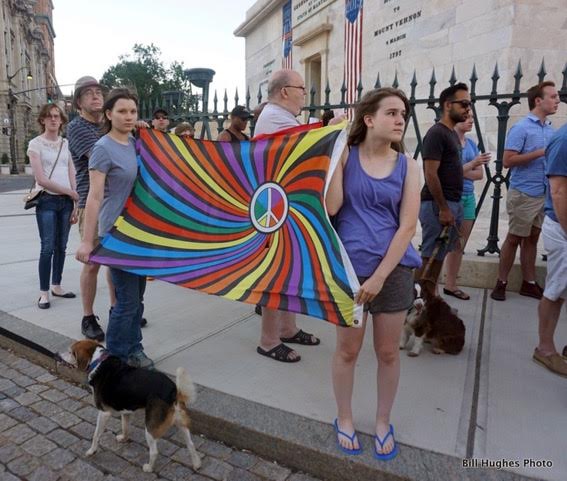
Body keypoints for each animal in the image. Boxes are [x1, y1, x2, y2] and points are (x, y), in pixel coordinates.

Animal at [59, 340, 202, 470]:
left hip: (150, 427)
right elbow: (125, 427)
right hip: (180, 422)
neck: (98, 361)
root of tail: (173, 391)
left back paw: (148, 468)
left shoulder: (104, 413)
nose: (58, 355)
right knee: (190, 444)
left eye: (70, 352)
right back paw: (196, 464)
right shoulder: (126, 411)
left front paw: (91, 451)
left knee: (154, 451)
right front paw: (124, 438)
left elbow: (96, 435)